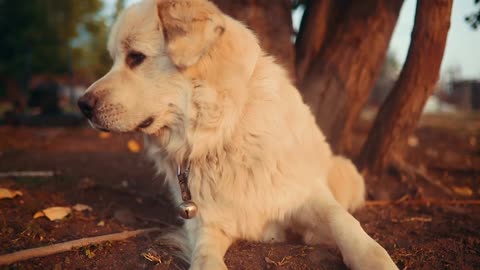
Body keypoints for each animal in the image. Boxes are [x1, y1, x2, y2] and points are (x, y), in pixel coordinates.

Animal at [78, 1, 398, 268]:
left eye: (136, 57)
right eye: (114, 59)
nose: (82, 105)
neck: (222, 134)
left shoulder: (304, 193)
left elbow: (343, 221)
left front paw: (373, 258)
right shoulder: (205, 222)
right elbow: (205, 257)